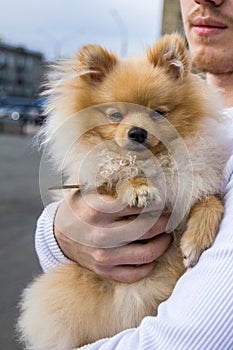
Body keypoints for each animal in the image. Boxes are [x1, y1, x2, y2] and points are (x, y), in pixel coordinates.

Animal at [17, 33, 232, 350]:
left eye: (158, 113)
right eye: (115, 114)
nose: (137, 132)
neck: (154, 162)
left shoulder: (189, 187)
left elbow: (210, 201)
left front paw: (195, 241)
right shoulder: (98, 180)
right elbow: (117, 173)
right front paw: (138, 187)